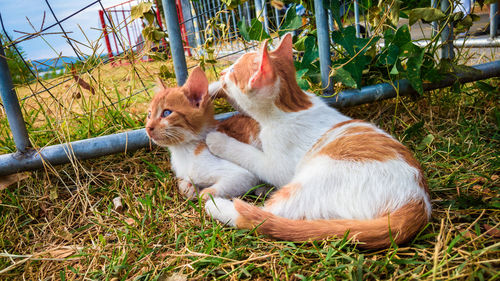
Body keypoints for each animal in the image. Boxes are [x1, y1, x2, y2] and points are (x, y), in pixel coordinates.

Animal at [145, 66, 260, 199]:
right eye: (149, 115)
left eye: (166, 113)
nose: (148, 128)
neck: (183, 150)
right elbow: (183, 186)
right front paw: (189, 188)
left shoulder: (242, 175)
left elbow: (206, 195)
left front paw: (202, 193)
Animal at [205, 34, 432, 247]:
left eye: (233, 72)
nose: (222, 73)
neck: (290, 107)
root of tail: (418, 202)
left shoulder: (278, 165)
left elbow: (251, 156)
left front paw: (218, 140)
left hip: (316, 180)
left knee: (263, 217)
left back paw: (217, 205)